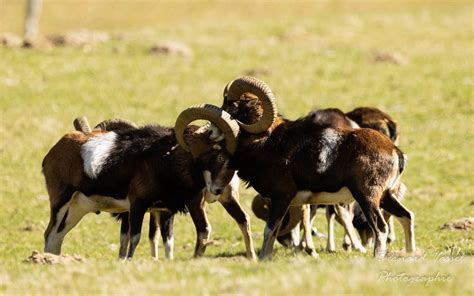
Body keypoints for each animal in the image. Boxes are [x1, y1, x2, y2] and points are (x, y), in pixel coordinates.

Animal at [42, 104, 239, 260]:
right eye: (217, 151)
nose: (218, 190)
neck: (162, 161)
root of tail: (54, 151)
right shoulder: (137, 205)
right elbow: (135, 238)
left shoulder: (165, 211)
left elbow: (169, 243)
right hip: (60, 202)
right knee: (50, 235)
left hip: (75, 211)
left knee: (57, 238)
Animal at [219, 77, 414, 260]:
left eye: (232, 106)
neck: (266, 142)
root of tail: (395, 151)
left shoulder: (282, 197)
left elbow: (269, 230)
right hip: (385, 196)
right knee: (407, 216)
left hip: (367, 197)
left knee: (381, 228)